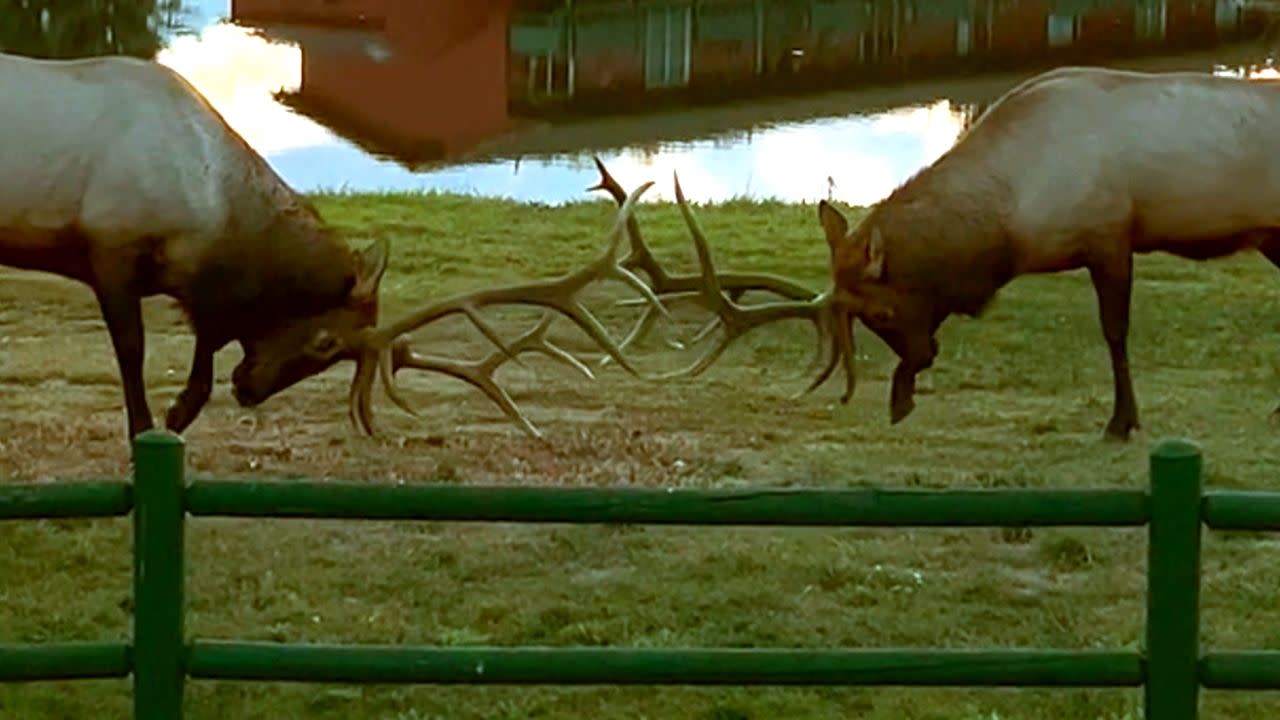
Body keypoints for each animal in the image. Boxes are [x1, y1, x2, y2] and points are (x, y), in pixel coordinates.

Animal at [5, 51, 670, 443]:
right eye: (327, 342)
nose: (249, 391)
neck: (212, 214)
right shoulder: (110, 246)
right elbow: (134, 352)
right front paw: (149, 425)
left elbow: (207, 346)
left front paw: (182, 410)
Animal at [616, 65, 1280, 438]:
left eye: (881, 312)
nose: (921, 358)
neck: (1013, 224)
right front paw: (901, 395)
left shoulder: (1110, 234)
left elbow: (1114, 333)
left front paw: (1122, 422)